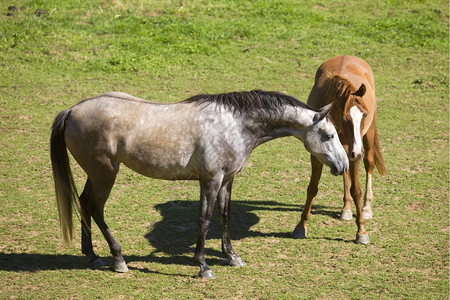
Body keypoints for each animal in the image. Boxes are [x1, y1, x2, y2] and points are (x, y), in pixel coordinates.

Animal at [51, 89, 350, 278]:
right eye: (328, 134)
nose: (344, 165)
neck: (235, 124)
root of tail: (72, 110)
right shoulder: (211, 179)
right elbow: (204, 220)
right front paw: (203, 266)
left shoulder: (227, 179)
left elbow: (225, 216)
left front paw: (232, 256)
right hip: (105, 174)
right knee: (96, 209)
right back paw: (118, 259)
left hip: (96, 174)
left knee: (85, 204)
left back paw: (93, 256)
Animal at [292, 55, 386, 244]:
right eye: (345, 117)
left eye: (364, 114)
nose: (358, 152)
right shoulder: (316, 154)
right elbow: (312, 188)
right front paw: (301, 226)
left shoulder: (355, 152)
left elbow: (356, 190)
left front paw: (361, 232)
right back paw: (346, 209)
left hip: (368, 137)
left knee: (369, 164)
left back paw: (366, 207)